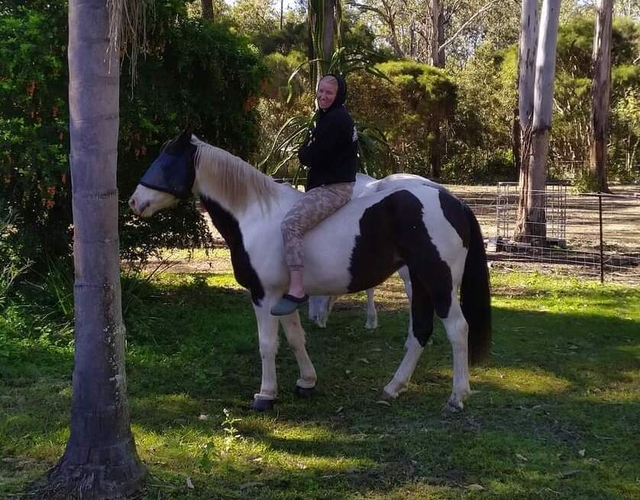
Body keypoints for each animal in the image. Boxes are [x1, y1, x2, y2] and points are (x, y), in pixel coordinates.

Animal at [129, 130, 492, 412]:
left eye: (166, 160)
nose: (134, 202)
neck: (255, 213)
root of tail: (454, 201)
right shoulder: (282, 298)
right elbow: (294, 338)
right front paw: (306, 381)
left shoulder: (263, 297)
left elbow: (267, 344)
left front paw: (265, 395)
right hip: (419, 282)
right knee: (420, 330)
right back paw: (394, 387)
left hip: (440, 283)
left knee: (457, 329)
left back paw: (457, 397)